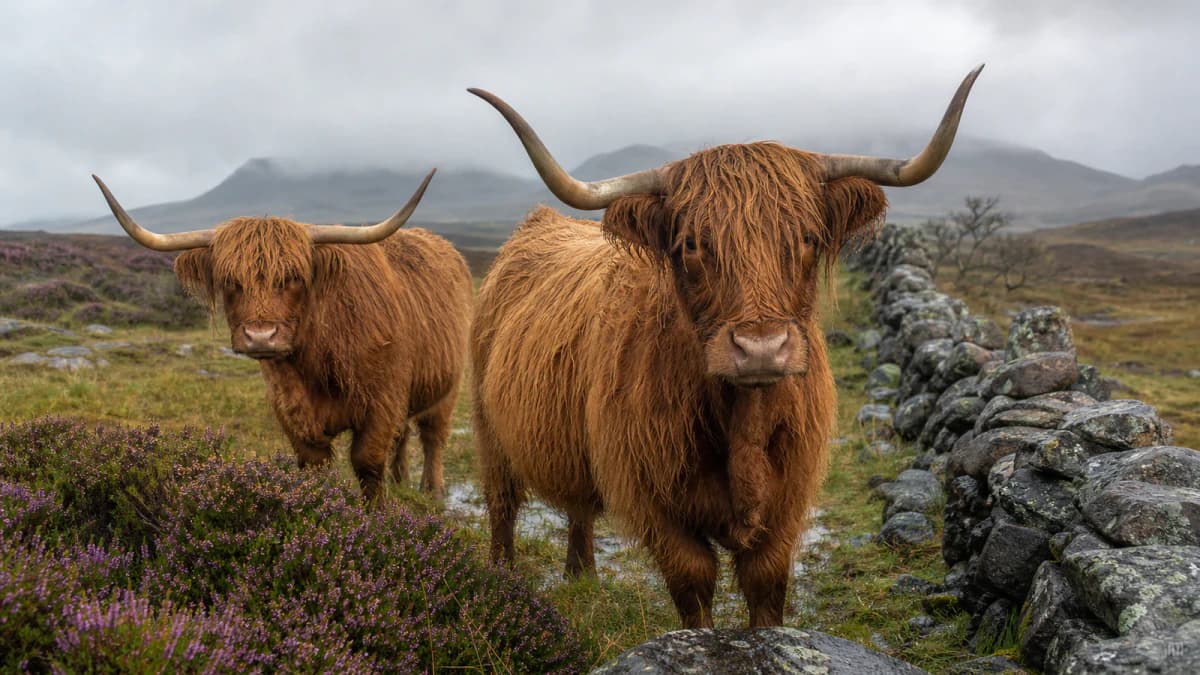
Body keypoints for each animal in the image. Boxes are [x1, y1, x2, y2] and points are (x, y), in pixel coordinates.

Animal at [93, 171, 472, 502]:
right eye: (230, 280)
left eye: (293, 277)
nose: (261, 336)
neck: (318, 362)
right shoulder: (290, 408)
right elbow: (315, 465)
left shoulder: (383, 399)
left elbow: (367, 463)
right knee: (404, 435)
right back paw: (401, 479)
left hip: (448, 385)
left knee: (433, 435)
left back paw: (432, 490)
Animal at [469, 66, 983, 628]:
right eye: (693, 243)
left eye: (806, 237)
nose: (761, 348)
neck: (741, 425)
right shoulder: (656, 503)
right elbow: (694, 583)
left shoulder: (787, 503)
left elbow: (765, 585)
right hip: (488, 429)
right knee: (502, 506)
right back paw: (500, 583)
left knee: (578, 508)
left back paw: (581, 577)